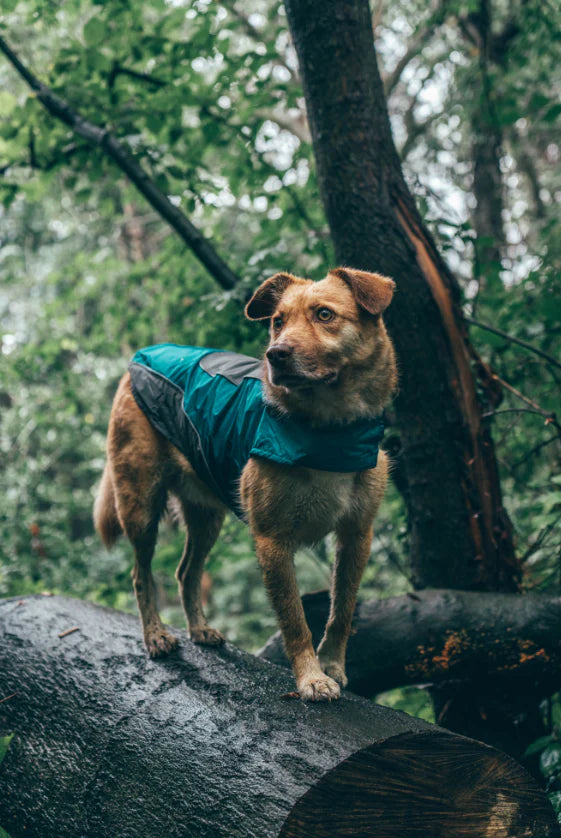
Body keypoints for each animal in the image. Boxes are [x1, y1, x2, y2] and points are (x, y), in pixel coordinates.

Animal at [94, 270, 396, 704]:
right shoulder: (272, 540)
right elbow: (295, 619)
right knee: (140, 574)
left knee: (186, 573)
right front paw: (310, 678)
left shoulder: (357, 535)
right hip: (140, 503)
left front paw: (333, 666)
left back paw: (199, 628)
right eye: (278, 322)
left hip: (207, 517)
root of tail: (139, 358)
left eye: (324, 314)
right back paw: (155, 636)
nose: (276, 354)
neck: (329, 434)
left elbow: (342, 610)